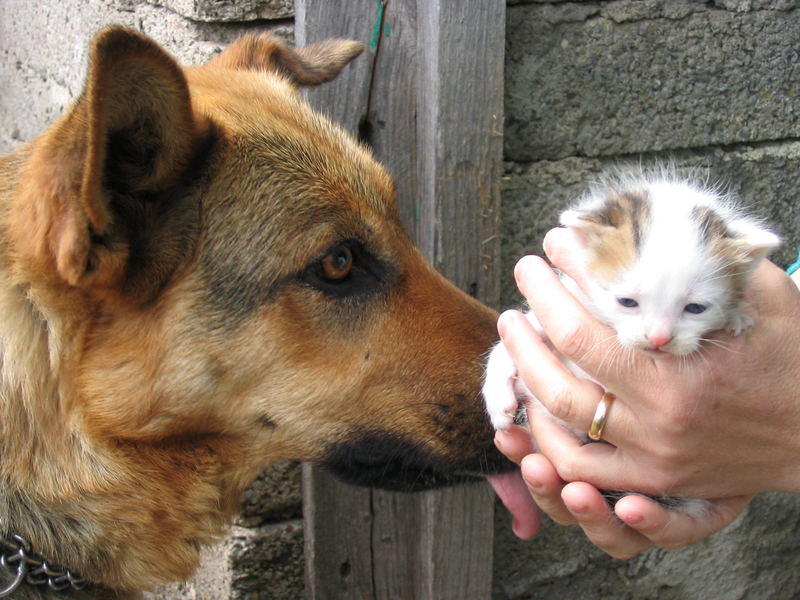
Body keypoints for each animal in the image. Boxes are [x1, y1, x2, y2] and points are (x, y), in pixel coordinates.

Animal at [484, 170, 780, 516]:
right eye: (627, 302)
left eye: (695, 308)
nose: (659, 338)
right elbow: (516, 336)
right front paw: (498, 399)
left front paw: (737, 317)